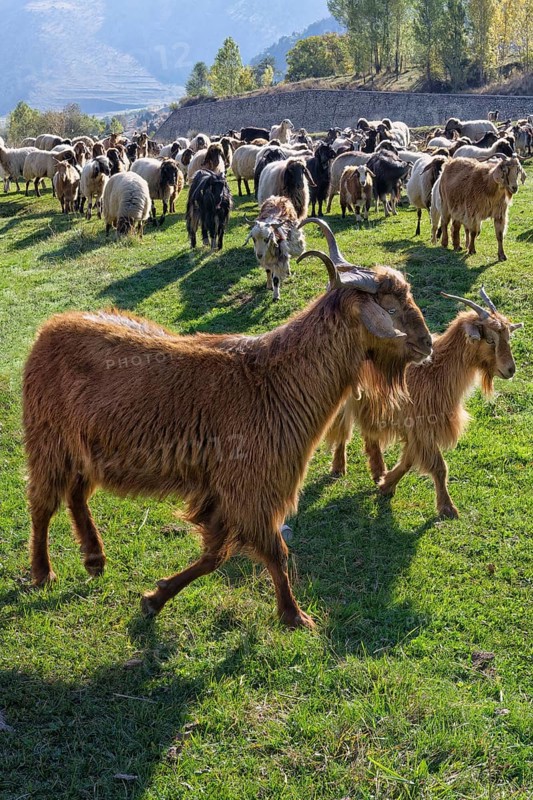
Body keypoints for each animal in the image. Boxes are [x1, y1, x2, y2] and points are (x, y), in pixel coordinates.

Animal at [22, 219, 431, 628]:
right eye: (390, 308)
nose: (427, 344)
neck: (274, 380)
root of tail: (50, 328)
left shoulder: (225, 494)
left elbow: (214, 556)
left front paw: (156, 597)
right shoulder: (251, 488)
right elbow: (274, 552)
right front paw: (294, 615)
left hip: (84, 449)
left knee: (75, 494)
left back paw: (94, 559)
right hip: (47, 437)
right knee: (42, 503)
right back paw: (43, 572)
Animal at [326, 288, 522, 518]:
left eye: (508, 337)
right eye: (490, 340)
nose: (510, 370)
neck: (435, 371)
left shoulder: (417, 429)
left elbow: (408, 461)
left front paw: (386, 484)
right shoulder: (422, 424)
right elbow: (439, 467)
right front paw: (447, 508)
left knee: (369, 433)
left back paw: (378, 469)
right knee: (342, 429)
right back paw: (339, 466)